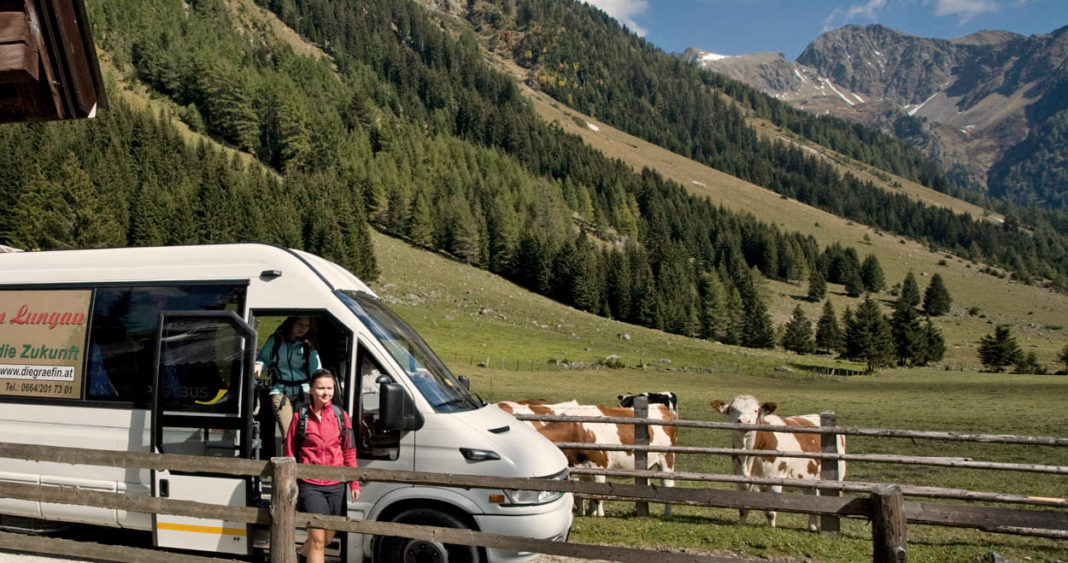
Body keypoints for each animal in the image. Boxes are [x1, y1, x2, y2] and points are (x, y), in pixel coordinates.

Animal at [493, 401, 674, 514]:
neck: (577, 430)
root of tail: (661, 407)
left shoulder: (599, 466)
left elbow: (597, 496)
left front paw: (598, 514)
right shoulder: (575, 469)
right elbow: (579, 494)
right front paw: (582, 511)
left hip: (666, 459)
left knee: (668, 485)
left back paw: (668, 513)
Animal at [713, 395, 845, 532]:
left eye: (756, 410)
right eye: (732, 409)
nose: (744, 421)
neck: (748, 457)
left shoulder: (774, 480)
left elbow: (771, 512)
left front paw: (772, 528)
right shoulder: (740, 480)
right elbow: (743, 507)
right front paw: (741, 525)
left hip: (837, 476)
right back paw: (812, 526)